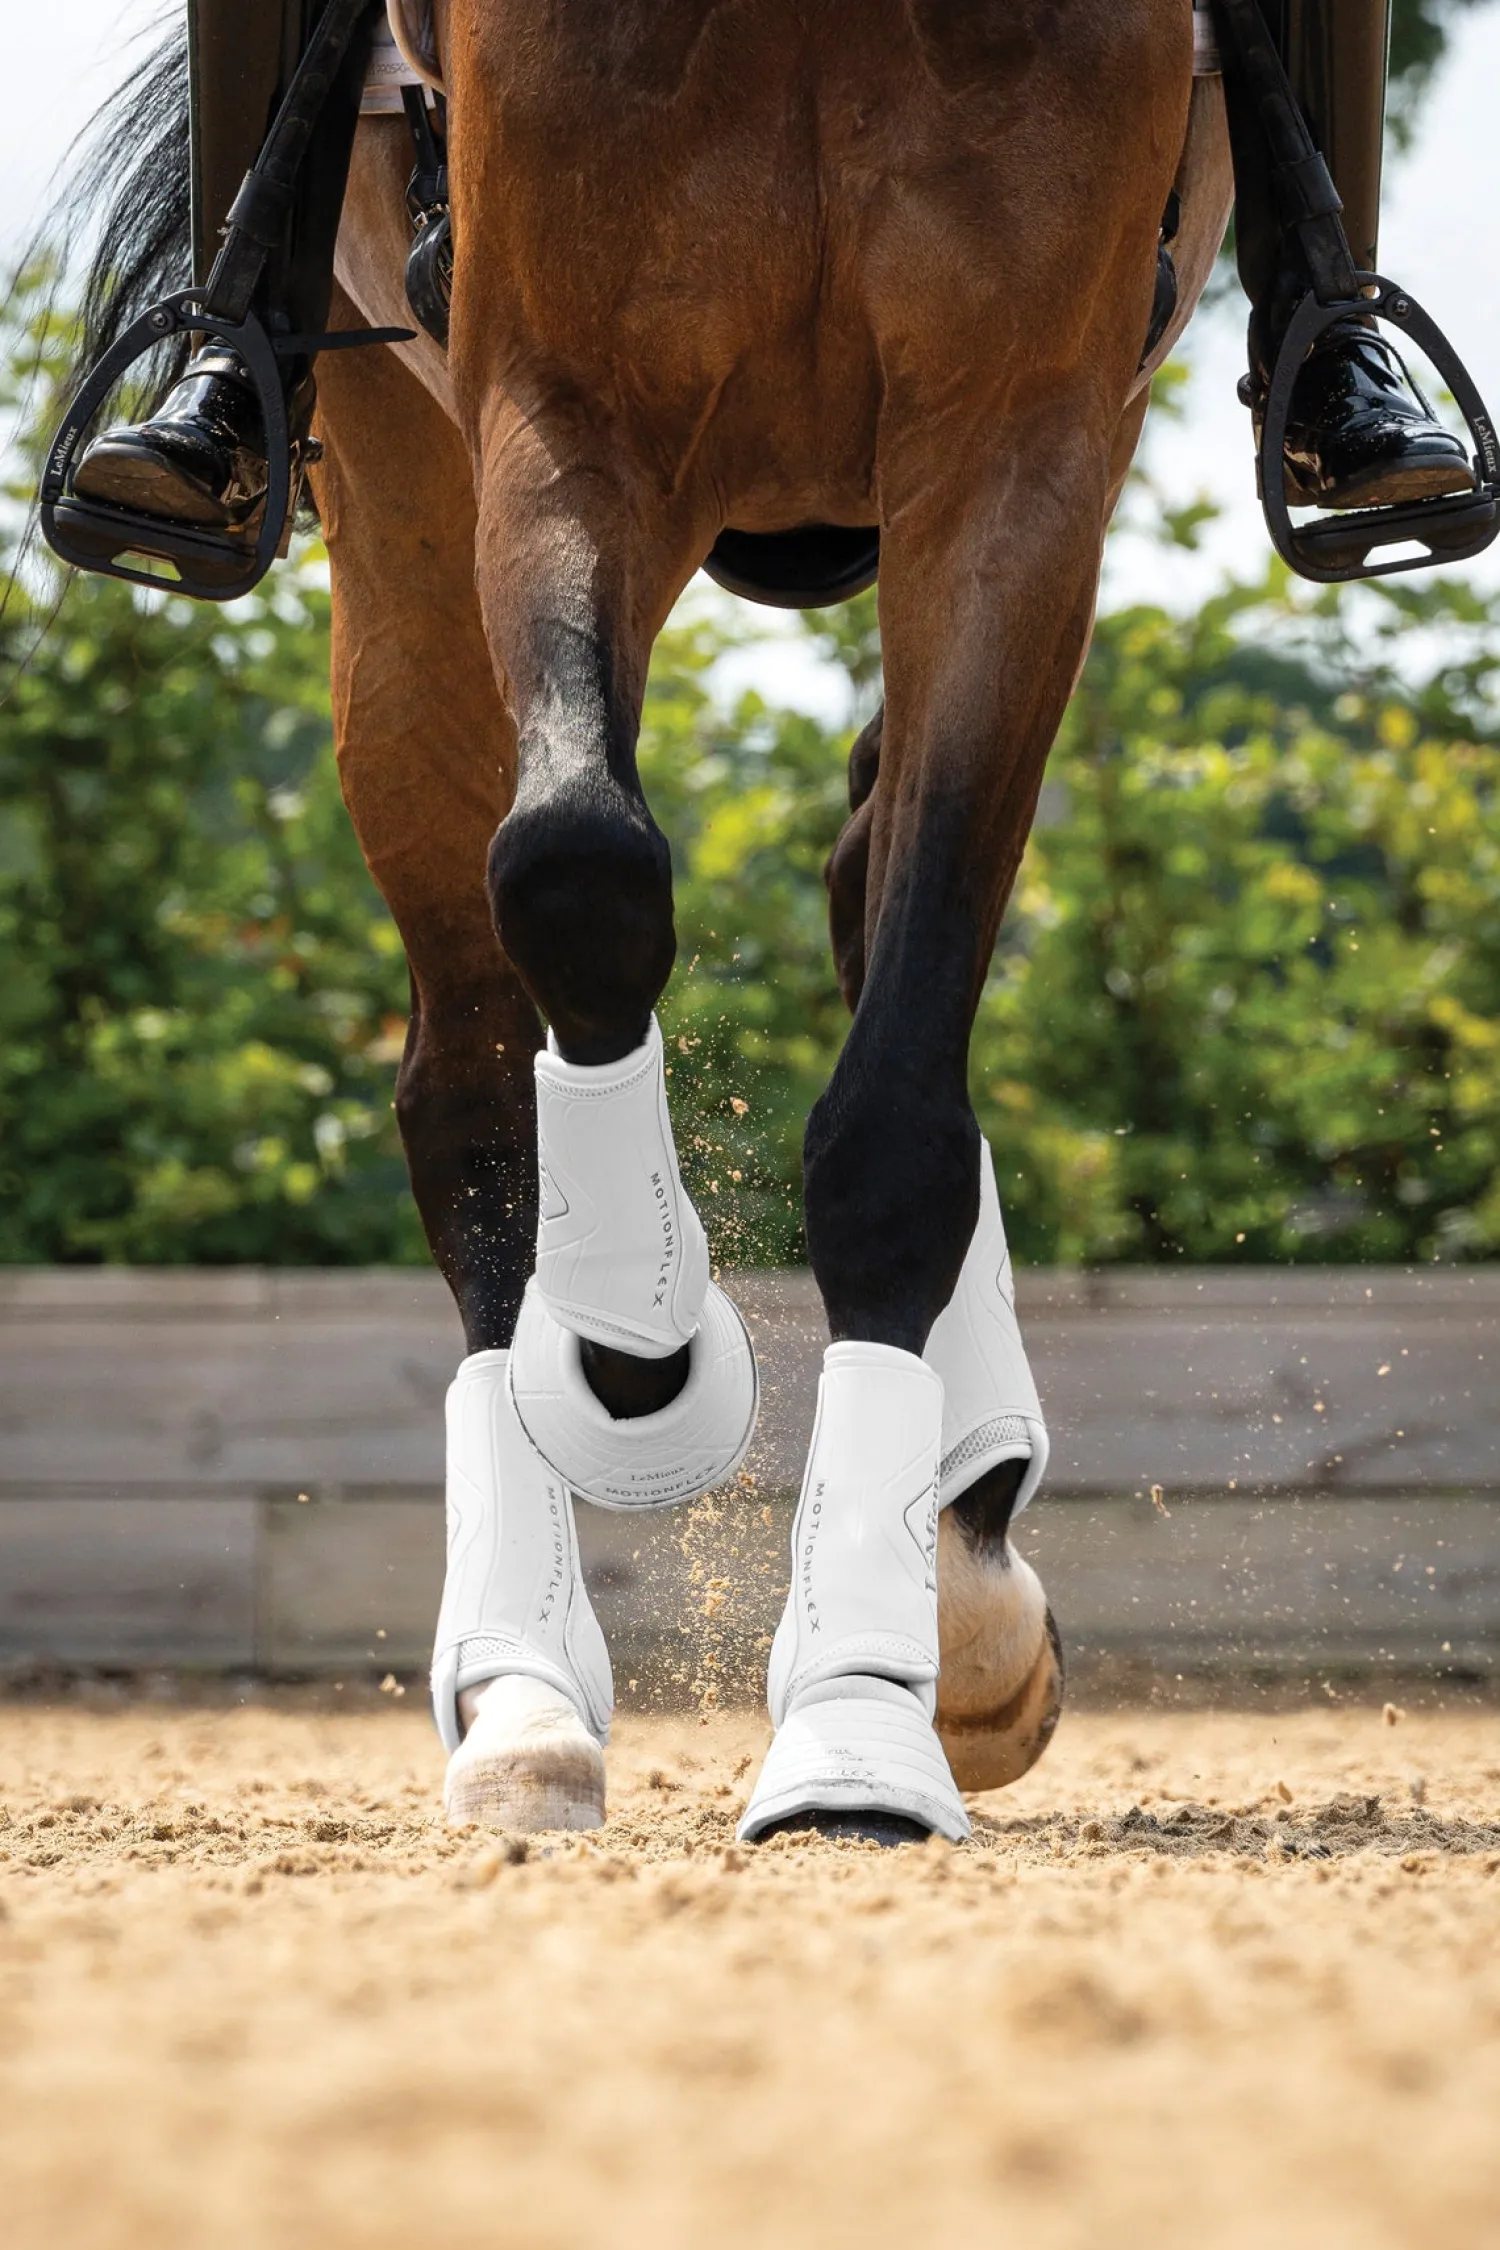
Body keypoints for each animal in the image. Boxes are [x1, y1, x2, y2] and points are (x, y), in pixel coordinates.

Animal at [64, 0, 1233, 1840]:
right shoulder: (565, 415)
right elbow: (578, 864)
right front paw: (640, 1355)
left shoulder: (1020, 443)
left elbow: (898, 1102)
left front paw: (864, 1714)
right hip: (404, 509)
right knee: (469, 1078)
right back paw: (523, 1692)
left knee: (869, 892)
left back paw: (962, 1570)